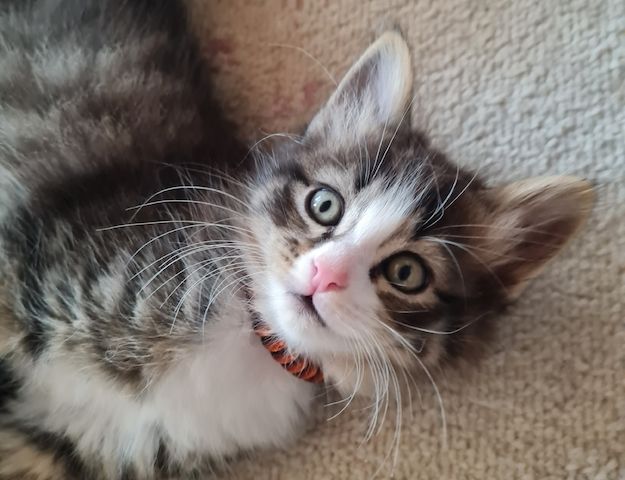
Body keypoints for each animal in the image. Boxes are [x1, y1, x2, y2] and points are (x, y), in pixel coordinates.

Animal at [0, 0, 592, 480]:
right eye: (324, 205)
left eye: (407, 273)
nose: (323, 274)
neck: (255, 343)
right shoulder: (37, 258)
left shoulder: (77, 439)